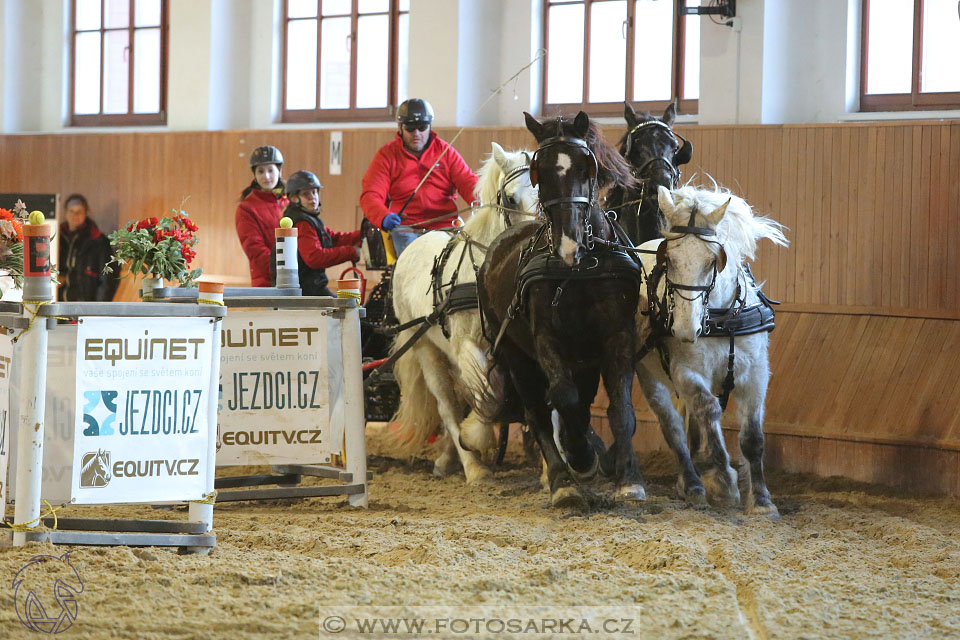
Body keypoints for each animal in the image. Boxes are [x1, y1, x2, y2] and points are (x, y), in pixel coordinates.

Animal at [390, 145, 540, 482]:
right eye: (510, 198)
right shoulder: (467, 346)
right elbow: (488, 396)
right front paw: (476, 441)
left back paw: (449, 454)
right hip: (427, 349)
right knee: (448, 405)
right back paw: (470, 464)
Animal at [480, 111, 644, 510]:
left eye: (587, 167)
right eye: (541, 172)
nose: (569, 245)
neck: (580, 270)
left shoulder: (618, 337)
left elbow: (620, 409)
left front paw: (628, 478)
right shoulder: (544, 338)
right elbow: (563, 399)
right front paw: (580, 461)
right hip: (516, 353)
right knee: (539, 410)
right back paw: (561, 479)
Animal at [636, 184, 788, 516]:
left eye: (712, 260)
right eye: (669, 260)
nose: (684, 330)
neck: (721, 319)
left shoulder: (756, 374)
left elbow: (753, 437)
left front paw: (761, 500)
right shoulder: (685, 371)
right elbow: (708, 410)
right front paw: (722, 480)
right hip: (648, 375)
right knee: (673, 427)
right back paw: (693, 482)